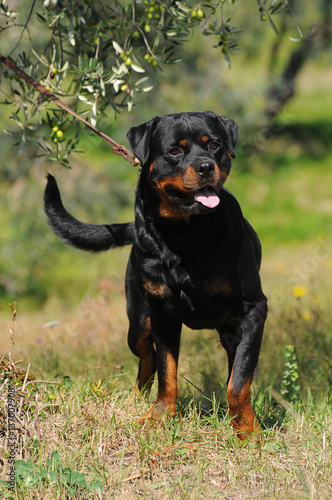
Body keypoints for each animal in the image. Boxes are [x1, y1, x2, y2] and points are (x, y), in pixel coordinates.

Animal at [44, 111, 268, 440]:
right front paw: (160, 417)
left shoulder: (253, 310)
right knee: (146, 359)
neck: (186, 232)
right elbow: (167, 371)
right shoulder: (162, 312)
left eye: (214, 145)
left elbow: (239, 381)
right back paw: (136, 399)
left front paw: (247, 430)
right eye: (174, 151)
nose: (205, 166)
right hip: (138, 322)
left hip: (229, 328)